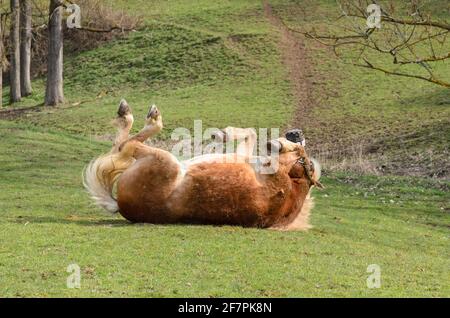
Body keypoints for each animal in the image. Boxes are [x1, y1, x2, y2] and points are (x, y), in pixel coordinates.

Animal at [83, 99, 324, 229]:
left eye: (301, 154)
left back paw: (143, 116)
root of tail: (121, 204)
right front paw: (222, 135)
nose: (297, 133)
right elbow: (250, 134)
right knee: (121, 146)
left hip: (164, 161)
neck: (289, 182)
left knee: (127, 145)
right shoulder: (243, 157)